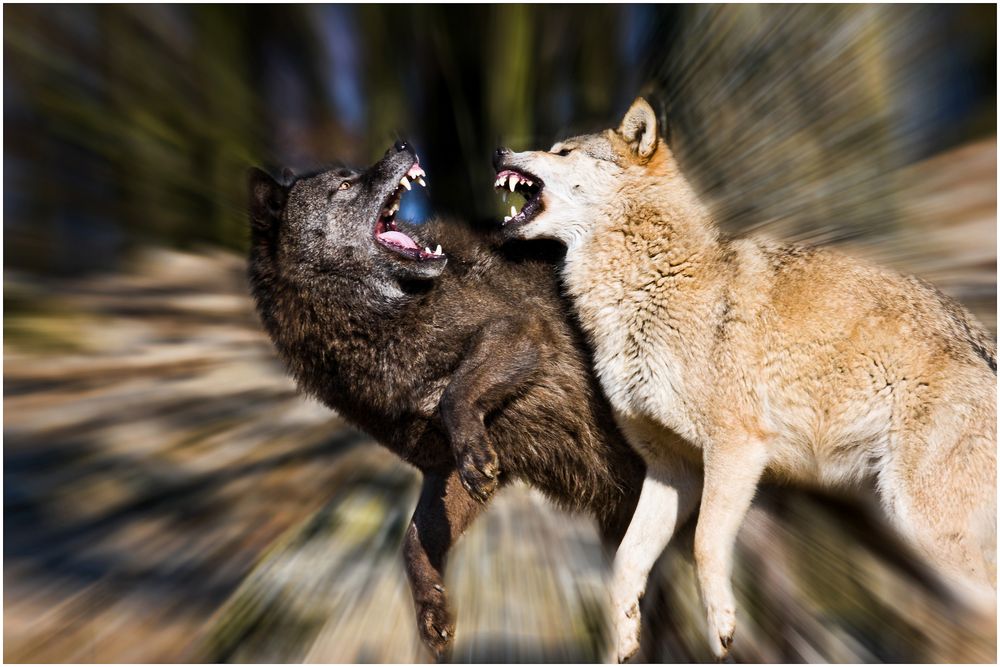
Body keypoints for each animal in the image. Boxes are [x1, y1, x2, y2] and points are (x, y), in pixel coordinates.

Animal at [490, 99, 992, 664]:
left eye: (562, 152)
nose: (498, 150)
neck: (649, 285)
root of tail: (978, 336)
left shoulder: (737, 450)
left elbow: (706, 542)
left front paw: (723, 629)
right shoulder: (673, 470)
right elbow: (626, 564)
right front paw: (622, 643)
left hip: (921, 525)